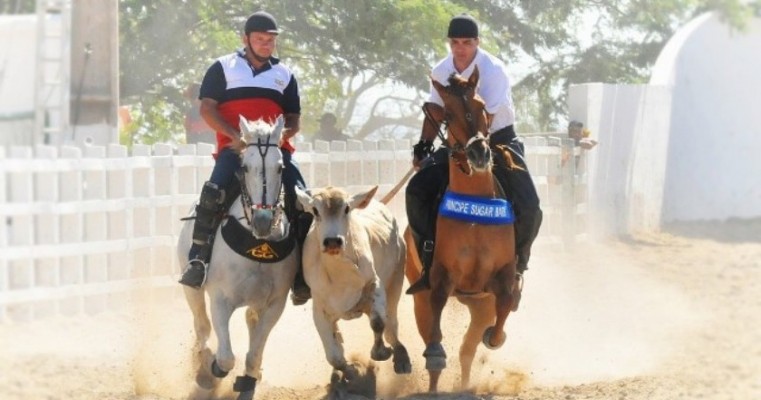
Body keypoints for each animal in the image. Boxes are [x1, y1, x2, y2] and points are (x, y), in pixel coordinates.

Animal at [177, 115, 296, 400]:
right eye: (245, 166)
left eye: (280, 168)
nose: (263, 221)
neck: (258, 244)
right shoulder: (220, 300)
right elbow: (226, 357)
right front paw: (211, 370)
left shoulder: (275, 305)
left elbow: (254, 352)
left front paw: (249, 381)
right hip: (192, 290)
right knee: (202, 326)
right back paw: (203, 362)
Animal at [294, 186, 410, 382]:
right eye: (315, 210)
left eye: (347, 209)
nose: (333, 241)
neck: (340, 274)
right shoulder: (319, 307)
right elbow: (334, 357)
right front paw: (351, 372)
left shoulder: (374, 284)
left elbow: (378, 322)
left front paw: (381, 352)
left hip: (397, 278)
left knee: (391, 323)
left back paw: (401, 357)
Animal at [406, 67, 520, 392]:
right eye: (448, 114)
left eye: (481, 105)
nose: (480, 154)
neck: (475, 212)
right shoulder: (441, 278)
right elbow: (435, 334)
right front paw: (435, 357)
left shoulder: (502, 277)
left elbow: (505, 304)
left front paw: (495, 338)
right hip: (419, 296)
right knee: (434, 338)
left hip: (479, 303)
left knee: (467, 349)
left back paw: (467, 383)